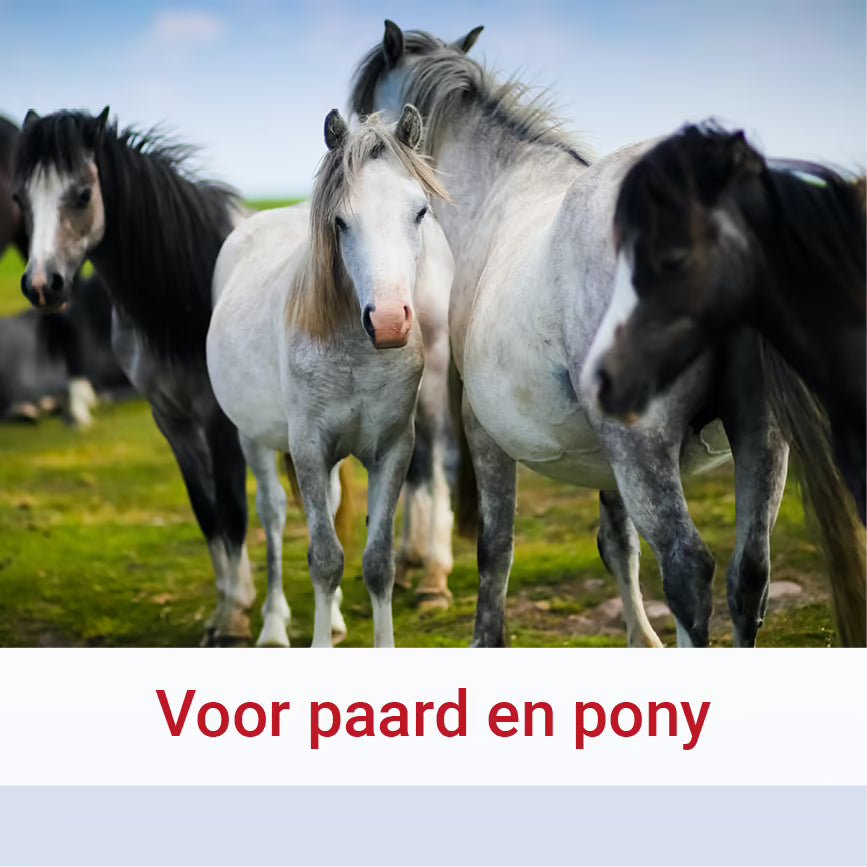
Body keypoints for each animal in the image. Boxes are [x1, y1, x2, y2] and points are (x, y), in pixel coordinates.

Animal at [12, 107, 257, 645]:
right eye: (19, 198)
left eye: (83, 194)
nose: (42, 285)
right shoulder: (172, 420)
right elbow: (208, 512)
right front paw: (228, 606)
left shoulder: (219, 420)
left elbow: (232, 508)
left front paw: (233, 620)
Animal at [207, 106, 454, 646]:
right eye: (340, 221)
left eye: (420, 212)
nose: (389, 321)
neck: (357, 355)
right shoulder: (308, 450)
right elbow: (324, 558)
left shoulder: (392, 449)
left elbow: (377, 562)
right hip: (254, 439)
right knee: (275, 515)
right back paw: (274, 626)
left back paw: (336, 618)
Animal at [351, 21, 801, 649]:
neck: (502, 188)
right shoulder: (605, 458)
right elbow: (618, 544)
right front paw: (641, 638)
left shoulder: (484, 430)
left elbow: (495, 547)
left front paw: (486, 637)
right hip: (761, 438)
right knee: (749, 576)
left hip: (644, 447)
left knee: (689, 571)